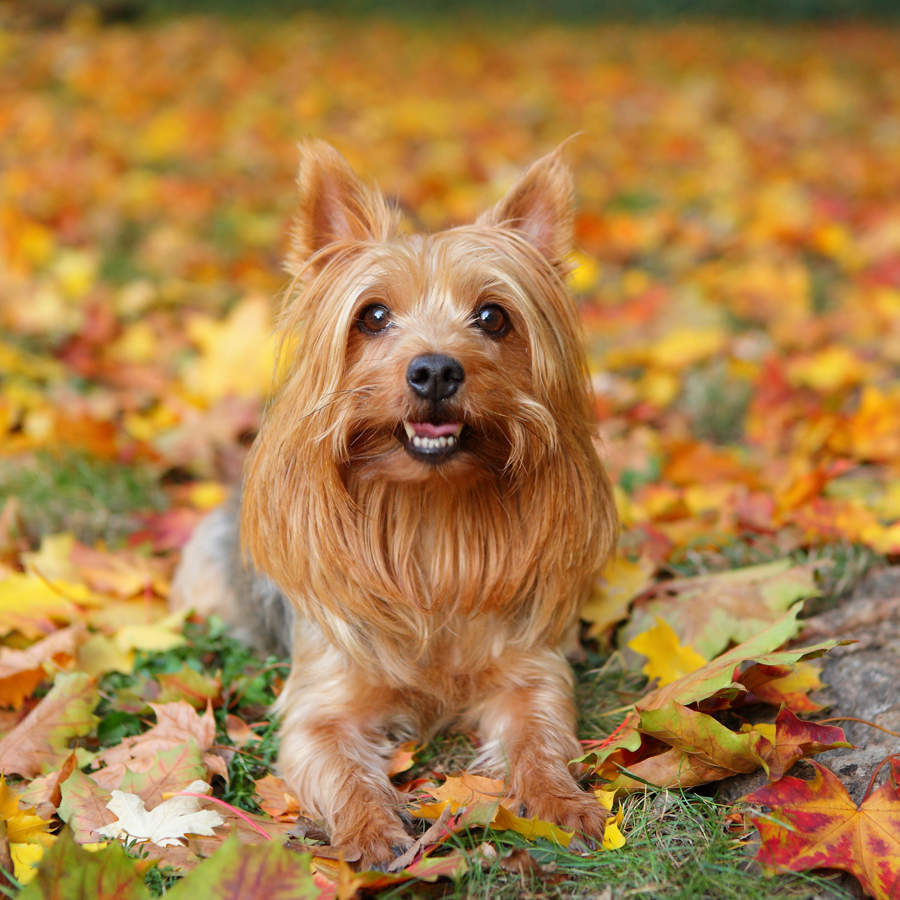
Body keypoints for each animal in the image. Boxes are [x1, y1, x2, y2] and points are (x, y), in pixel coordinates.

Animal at [171, 141, 620, 864]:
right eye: (373, 316)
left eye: (493, 316)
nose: (435, 369)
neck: (427, 515)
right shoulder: (321, 703)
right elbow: (338, 764)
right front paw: (371, 831)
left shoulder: (529, 672)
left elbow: (539, 735)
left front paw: (563, 802)